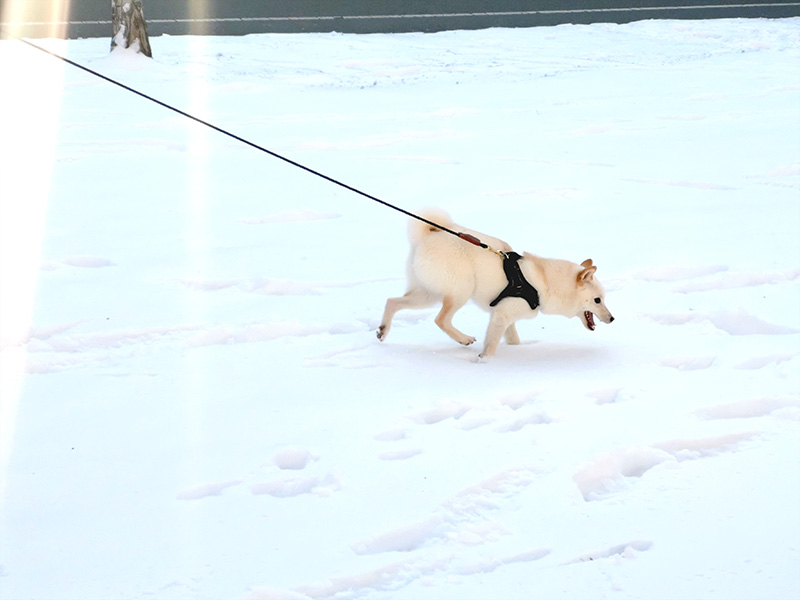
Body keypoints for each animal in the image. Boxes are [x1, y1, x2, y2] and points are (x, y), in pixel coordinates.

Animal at [378, 211, 616, 358]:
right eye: (597, 300)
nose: (612, 319)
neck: (543, 283)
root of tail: (427, 237)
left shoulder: (504, 316)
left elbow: (513, 340)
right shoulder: (501, 316)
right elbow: (491, 345)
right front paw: (485, 362)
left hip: (427, 294)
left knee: (392, 301)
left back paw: (382, 330)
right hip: (460, 291)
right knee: (441, 319)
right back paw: (464, 339)